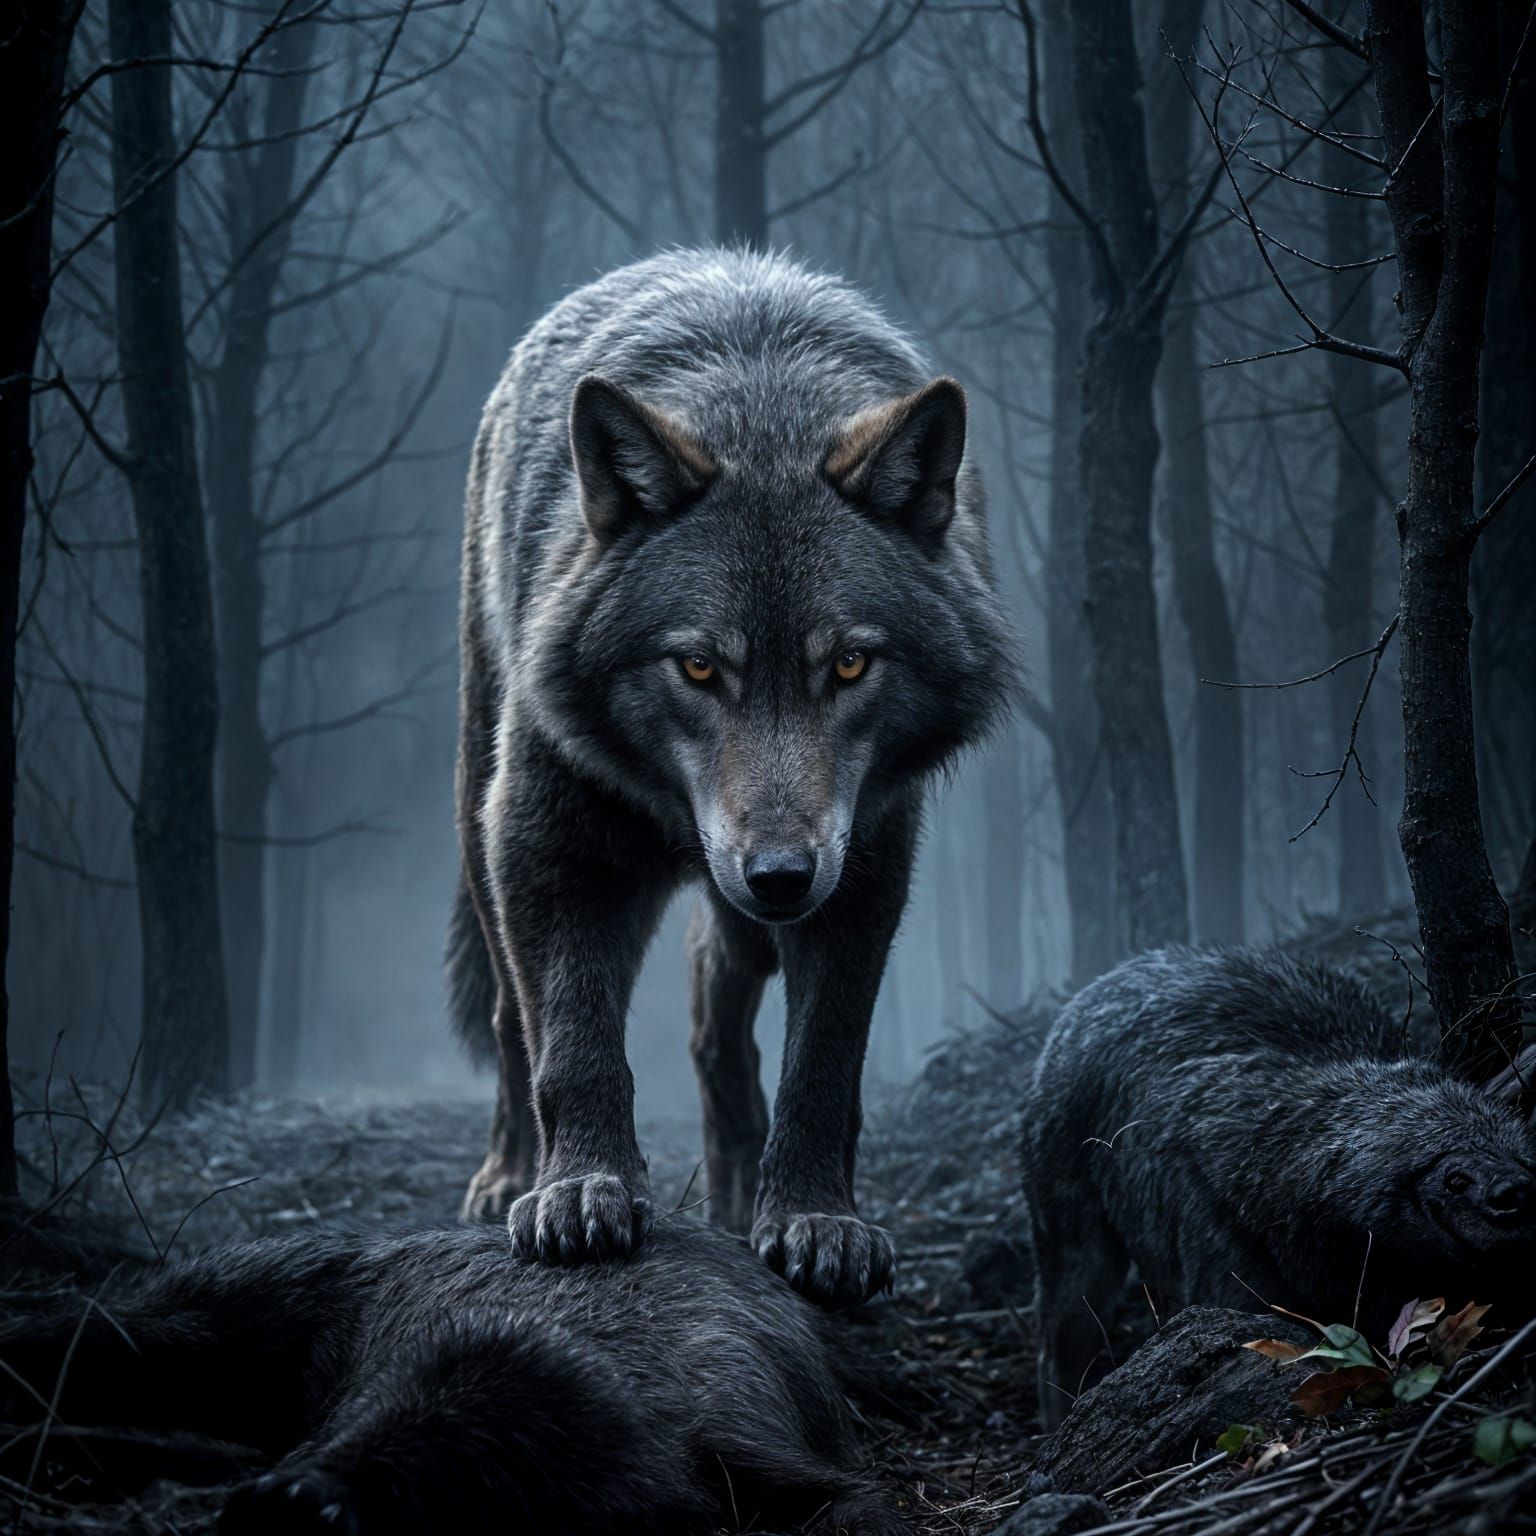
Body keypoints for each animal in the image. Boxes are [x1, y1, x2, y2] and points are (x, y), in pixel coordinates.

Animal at [449, 248, 1012, 1304]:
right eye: (701, 667)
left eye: (849, 665)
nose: (779, 875)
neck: (763, 412)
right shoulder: (546, 842)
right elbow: (573, 1043)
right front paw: (580, 1189)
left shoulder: (866, 863)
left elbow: (824, 1065)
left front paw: (813, 1219)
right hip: (479, 813)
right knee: (510, 1016)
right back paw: (508, 1172)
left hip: (752, 912)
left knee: (717, 1013)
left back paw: (734, 1195)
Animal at [1022, 947, 1536, 1426]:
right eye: (1455, 1177)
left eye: (1520, 1153)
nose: (1514, 1192)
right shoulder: (1225, 1262)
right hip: (1069, 1219)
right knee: (1062, 1328)